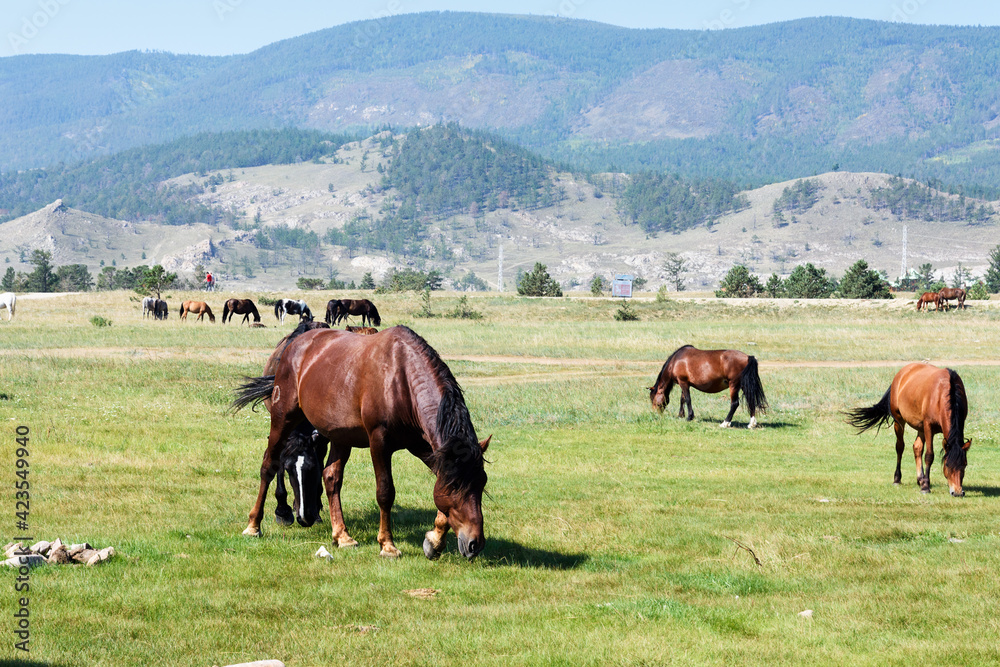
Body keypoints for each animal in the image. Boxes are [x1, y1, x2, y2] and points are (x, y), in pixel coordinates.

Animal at [231, 324, 488, 560]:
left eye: (482, 484)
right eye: (457, 487)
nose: (475, 544)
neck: (401, 378)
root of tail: (295, 344)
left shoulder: (424, 446)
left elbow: (440, 489)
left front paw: (434, 540)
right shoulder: (379, 441)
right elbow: (385, 492)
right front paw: (387, 545)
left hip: (338, 435)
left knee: (331, 477)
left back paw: (342, 536)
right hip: (283, 418)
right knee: (269, 465)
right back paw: (254, 525)